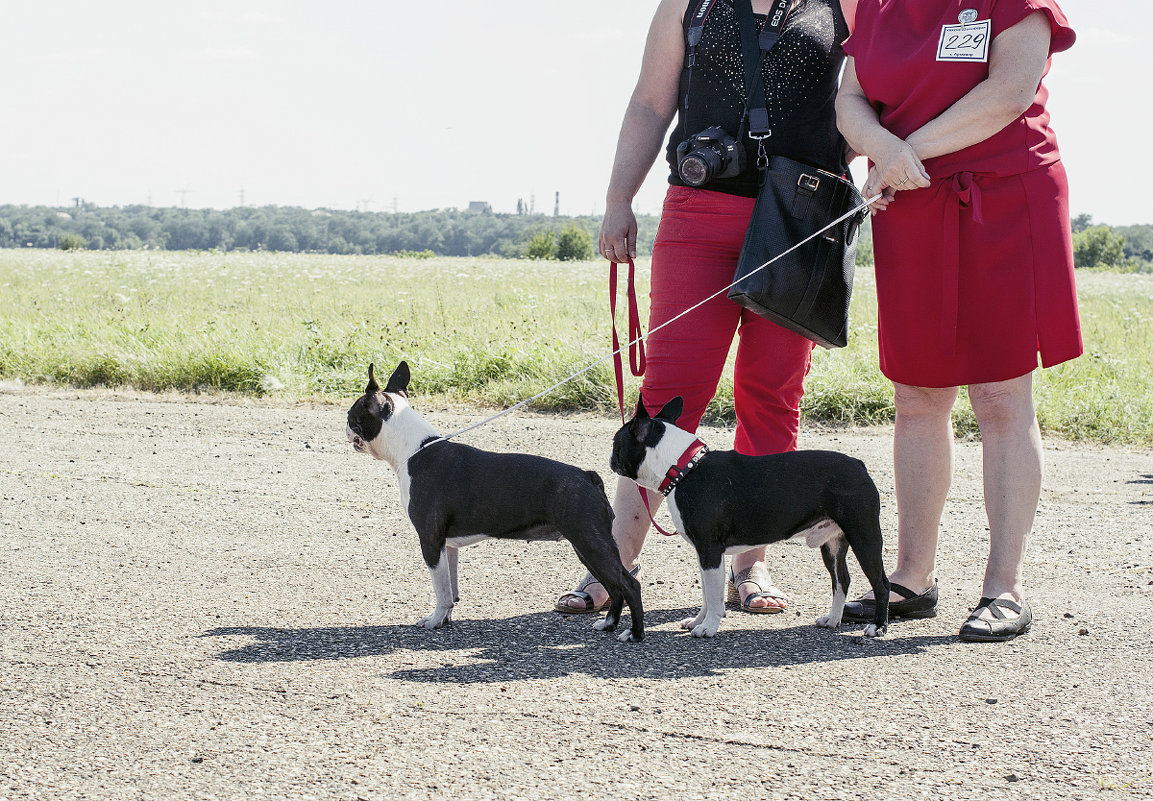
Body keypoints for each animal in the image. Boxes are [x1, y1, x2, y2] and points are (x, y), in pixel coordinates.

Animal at [341, 364, 650, 645]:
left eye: (351, 415)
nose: (343, 426)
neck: (413, 449)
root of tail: (588, 476)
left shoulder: (430, 540)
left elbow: (439, 588)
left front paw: (434, 620)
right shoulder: (446, 545)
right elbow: (449, 585)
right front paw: (446, 617)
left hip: (589, 541)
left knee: (629, 585)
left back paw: (634, 634)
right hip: (587, 546)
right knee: (615, 586)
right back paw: (608, 624)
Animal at [613, 398, 890, 640]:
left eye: (616, 443)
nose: (611, 458)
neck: (684, 468)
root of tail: (859, 465)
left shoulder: (710, 551)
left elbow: (714, 595)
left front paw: (708, 627)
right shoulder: (705, 556)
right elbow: (707, 593)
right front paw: (698, 621)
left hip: (864, 536)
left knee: (881, 583)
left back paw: (878, 627)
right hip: (832, 543)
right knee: (841, 580)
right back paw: (832, 619)